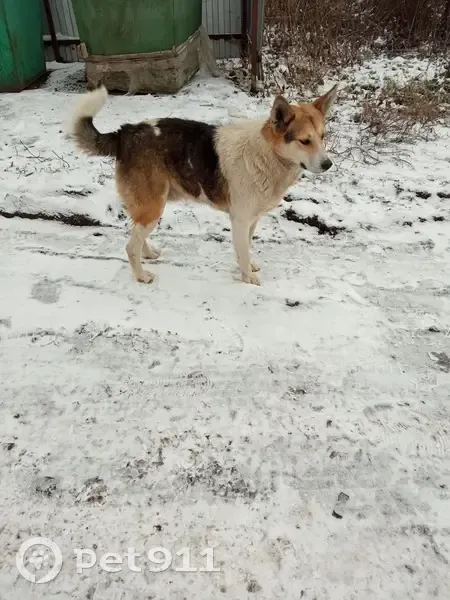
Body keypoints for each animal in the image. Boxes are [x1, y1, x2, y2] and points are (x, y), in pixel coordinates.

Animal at [68, 84, 337, 285]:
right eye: (305, 141)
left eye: (322, 137)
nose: (328, 164)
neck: (267, 154)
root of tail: (124, 133)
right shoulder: (240, 220)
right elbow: (242, 250)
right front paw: (246, 278)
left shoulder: (252, 220)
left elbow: (246, 247)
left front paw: (248, 266)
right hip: (154, 207)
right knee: (130, 246)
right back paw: (141, 276)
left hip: (148, 208)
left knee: (136, 234)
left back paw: (149, 253)